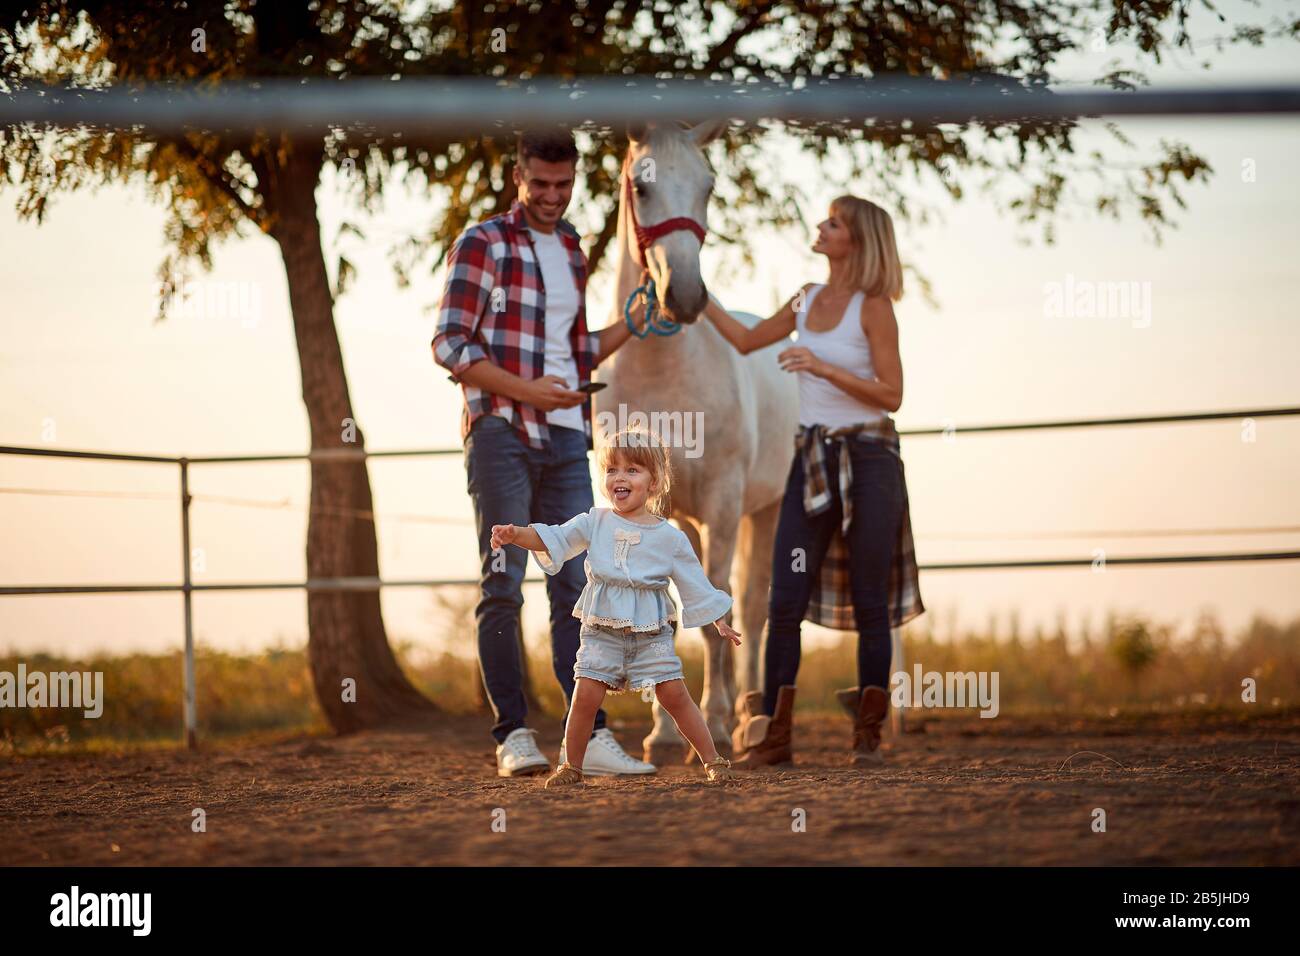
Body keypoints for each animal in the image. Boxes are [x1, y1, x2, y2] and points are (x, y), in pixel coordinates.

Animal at [595, 121, 795, 764]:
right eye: (641, 185)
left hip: (768, 507)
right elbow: (671, 606)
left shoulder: (724, 503)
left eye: (708, 185)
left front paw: (712, 724)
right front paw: (662, 731)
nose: (683, 296)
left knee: (750, 602)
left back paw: (748, 715)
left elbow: (717, 607)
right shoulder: (659, 510)